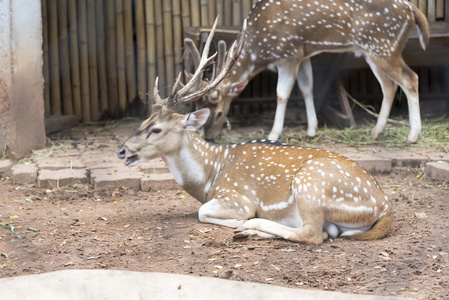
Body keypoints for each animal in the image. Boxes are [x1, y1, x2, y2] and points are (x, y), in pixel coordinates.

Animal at [117, 18, 390, 244]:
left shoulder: (237, 197)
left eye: (156, 129)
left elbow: (203, 212)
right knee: (325, 231)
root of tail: (385, 206)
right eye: (142, 123)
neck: (209, 179)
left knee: (313, 233)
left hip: (310, 184)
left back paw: (251, 226)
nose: (122, 150)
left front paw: (241, 221)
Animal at [185, 0, 428, 144]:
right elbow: (307, 88)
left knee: (411, 78)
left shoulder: (288, 53)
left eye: (219, 113)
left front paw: (273, 134)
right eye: (197, 108)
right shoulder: (302, 55)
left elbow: (282, 94)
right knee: (390, 86)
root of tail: (413, 11)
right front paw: (311, 129)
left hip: (383, 47)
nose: (210, 137)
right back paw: (376, 132)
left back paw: (412, 135)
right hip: (373, 52)